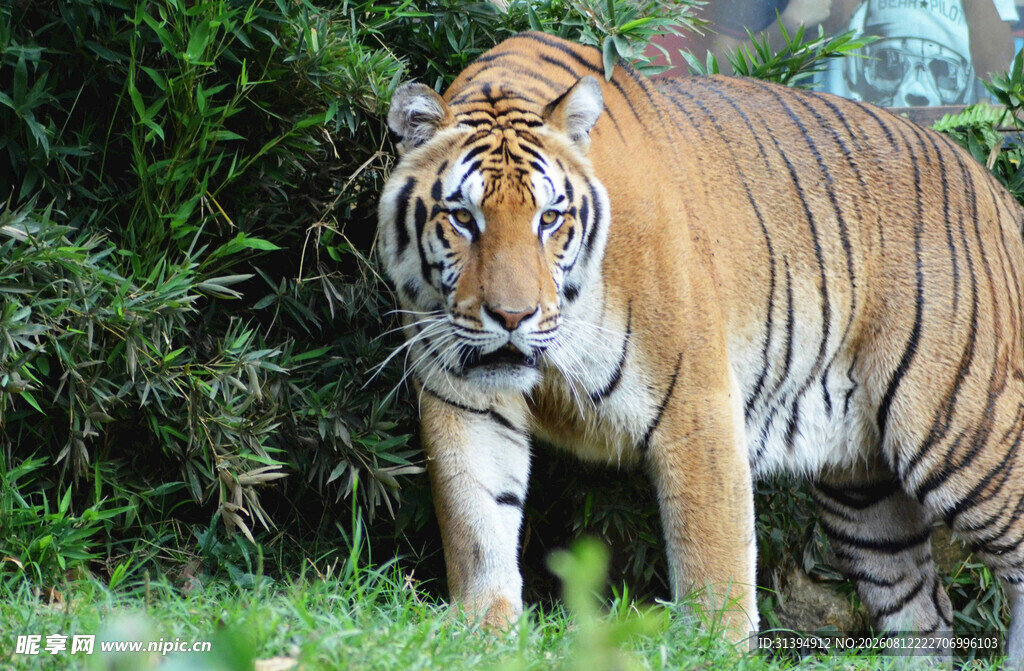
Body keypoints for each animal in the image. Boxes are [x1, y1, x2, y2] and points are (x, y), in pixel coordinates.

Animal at [377, 31, 1024, 657]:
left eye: (549, 218)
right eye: (463, 218)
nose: (512, 316)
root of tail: (999, 192)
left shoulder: (696, 403)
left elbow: (713, 556)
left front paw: (715, 648)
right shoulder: (464, 398)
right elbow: (477, 521)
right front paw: (483, 634)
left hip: (962, 436)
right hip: (865, 497)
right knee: (926, 613)